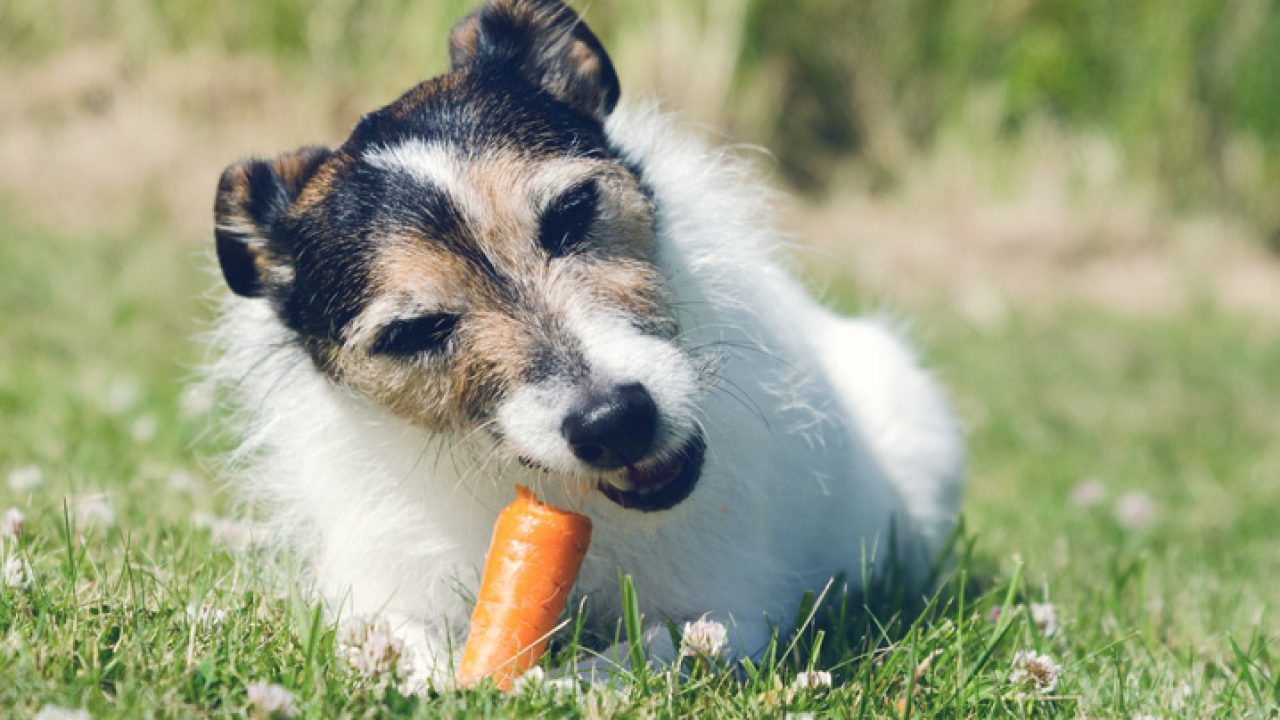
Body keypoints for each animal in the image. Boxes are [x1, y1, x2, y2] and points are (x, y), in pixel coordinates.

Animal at [207, 0, 962, 686]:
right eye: (414, 331)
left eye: (571, 213)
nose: (616, 421)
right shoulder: (379, 591)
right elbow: (390, 639)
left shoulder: (733, 611)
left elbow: (648, 654)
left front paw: (559, 684)